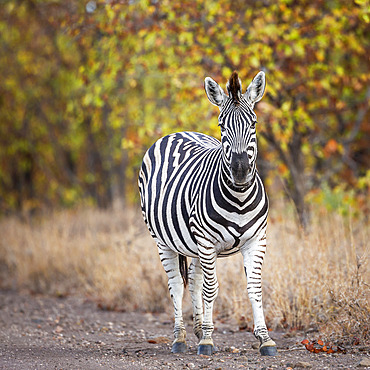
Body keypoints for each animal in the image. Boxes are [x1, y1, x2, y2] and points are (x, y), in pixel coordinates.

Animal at [139, 71, 278, 356]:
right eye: (222, 125)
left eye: (254, 123)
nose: (240, 171)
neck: (239, 198)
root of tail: (177, 132)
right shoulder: (206, 240)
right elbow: (211, 288)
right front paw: (207, 341)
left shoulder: (256, 241)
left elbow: (255, 288)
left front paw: (265, 338)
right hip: (164, 241)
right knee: (176, 284)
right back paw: (180, 338)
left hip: (192, 244)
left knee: (192, 279)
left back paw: (198, 328)